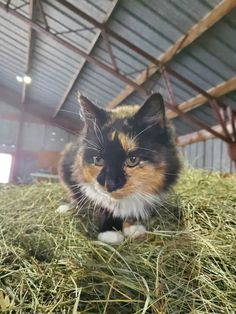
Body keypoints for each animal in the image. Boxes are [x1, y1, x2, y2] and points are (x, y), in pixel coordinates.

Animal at [59, 92, 181, 244]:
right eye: (98, 160)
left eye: (132, 160)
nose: (109, 184)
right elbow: (103, 204)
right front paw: (110, 232)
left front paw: (132, 226)